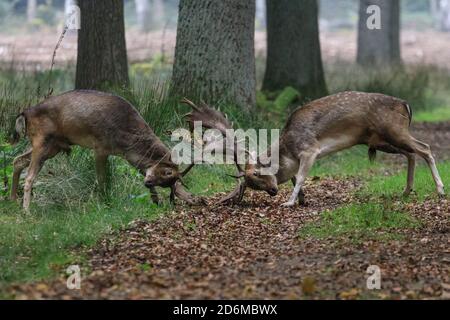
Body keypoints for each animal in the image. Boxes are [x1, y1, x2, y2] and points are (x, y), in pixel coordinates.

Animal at [10, 89, 200, 210]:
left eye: (166, 181)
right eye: (167, 172)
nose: (148, 183)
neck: (125, 143)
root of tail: (25, 113)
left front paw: (186, 198)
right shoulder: (100, 147)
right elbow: (102, 179)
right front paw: (105, 202)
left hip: (53, 146)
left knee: (17, 160)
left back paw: (12, 200)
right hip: (41, 140)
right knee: (30, 177)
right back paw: (26, 210)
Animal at [182, 92, 442, 208]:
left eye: (257, 174)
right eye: (254, 186)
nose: (273, 192)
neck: (287, 149)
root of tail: (406, 105)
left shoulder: (310, 149)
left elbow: (300, 177)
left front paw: (289, 202)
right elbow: (296, 177)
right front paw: (302, 200)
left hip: (393, 131)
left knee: (425, 148)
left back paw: (439, 189)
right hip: (381, 141)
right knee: (411, 154)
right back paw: (406, 191)